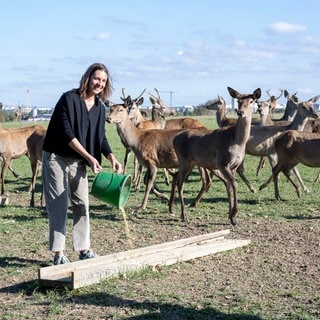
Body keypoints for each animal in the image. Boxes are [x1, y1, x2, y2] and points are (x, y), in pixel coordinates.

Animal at [171, 85, 262, 225]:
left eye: (252, 101)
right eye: (238, 101)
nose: (240, 112)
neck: (237, 142)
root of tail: (175, 139)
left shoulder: (234, 166)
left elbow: (229, 186)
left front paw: (232, 217)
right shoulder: (222, 163)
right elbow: (234, 183)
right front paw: (234, 213)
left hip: (191, 162)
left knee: (177, 178)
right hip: (184, 160)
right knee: (180, 182)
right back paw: (184, 216)